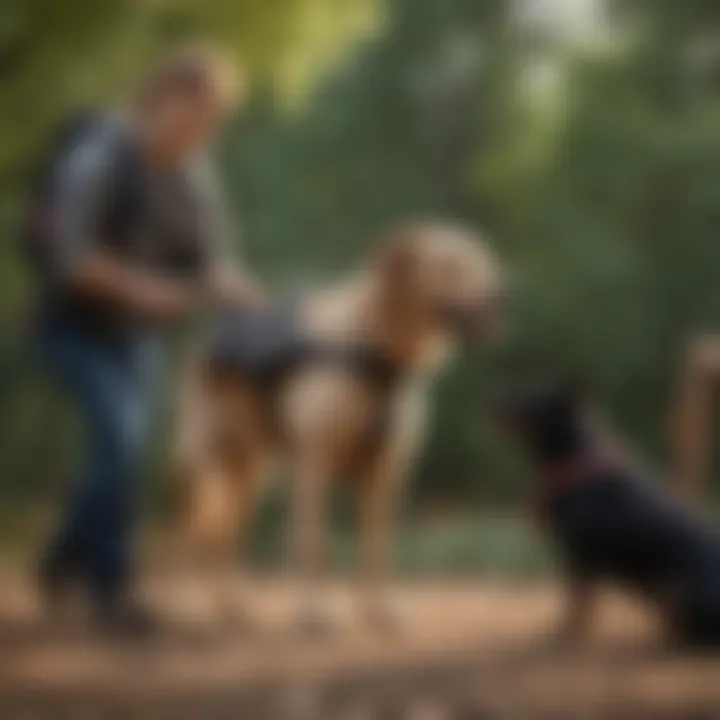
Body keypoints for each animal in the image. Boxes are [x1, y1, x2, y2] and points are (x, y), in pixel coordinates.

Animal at [172, 219, 504, 632]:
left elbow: (376, 549)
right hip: (205, 463)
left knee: (225, 537)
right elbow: (312, 544)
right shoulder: (314, 464)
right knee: (192, 535)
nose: (503, 294)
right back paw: (190, 606)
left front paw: (379, 612)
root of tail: (214, 334)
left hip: (249, 473)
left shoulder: (385, 473)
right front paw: (312, 613)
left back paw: (230, 607)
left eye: (482, 259)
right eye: (450, 265)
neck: (374, 352)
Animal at [500, 386, 720, 648]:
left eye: (532, 402)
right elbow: (579, 604)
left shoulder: (581, 555)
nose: (495, 403)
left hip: (679, 589)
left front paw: (566, 634)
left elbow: (578, 604)